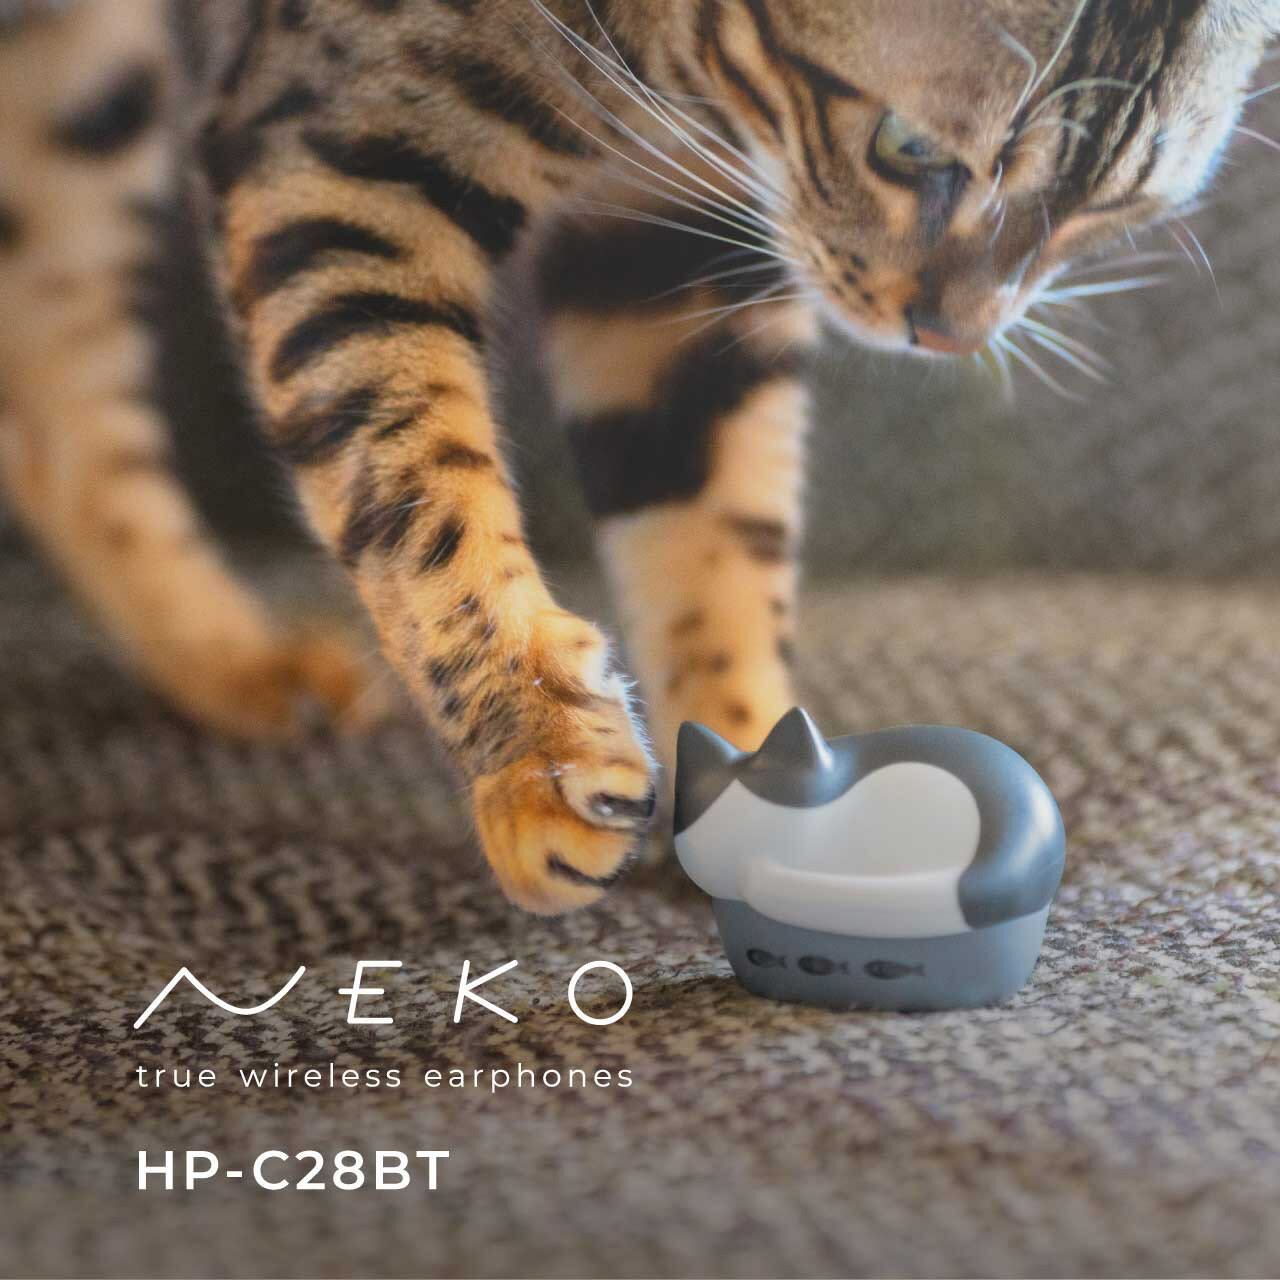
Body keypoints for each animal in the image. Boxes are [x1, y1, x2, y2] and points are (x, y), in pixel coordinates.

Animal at [0, 0, 1275, 912]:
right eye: (906, 148)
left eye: (1105, 209)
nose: (952, 333)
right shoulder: (334, 151)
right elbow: (418, 491)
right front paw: (540, 753)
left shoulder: (674, 227)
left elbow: (714, 525)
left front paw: (762, 778)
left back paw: (226, 657)